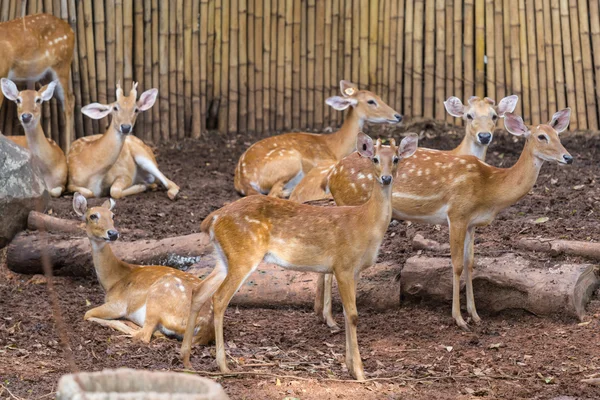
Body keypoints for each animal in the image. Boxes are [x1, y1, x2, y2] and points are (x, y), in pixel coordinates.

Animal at [0, 14, 75, 150]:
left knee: (68, 104)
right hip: (45, 74)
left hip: (61, 65)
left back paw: (67, 151)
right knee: (71, 97)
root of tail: (71, 31)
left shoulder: (3, 71)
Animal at [73, 193, 214, 344]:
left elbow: (87, 313)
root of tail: (204, 329)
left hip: (157, 298)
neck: (112, 282)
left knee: (144, 335)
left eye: (113, 216)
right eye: (93, 216)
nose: (113, 233)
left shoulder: (119, 304)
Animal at [180, 133, 420, 380]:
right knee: (219, 298)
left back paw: (186, 359)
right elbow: (353, 315)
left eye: (396, 159)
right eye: (374, 159)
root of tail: (212, 219)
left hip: (224, 258)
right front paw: (361, 373)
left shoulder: (355, 271)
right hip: (244, 255)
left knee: (199, 291)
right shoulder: (343, 265)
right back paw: (223, 366)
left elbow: (347, 313)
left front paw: (349, 366)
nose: (386, 178)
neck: (365, 223)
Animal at [234, 79, 404, 198]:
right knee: (274, 193)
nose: (398, 116)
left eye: (379, 97)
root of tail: (243, 180)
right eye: (371, 101)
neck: (336, 147)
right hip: (290, 160)